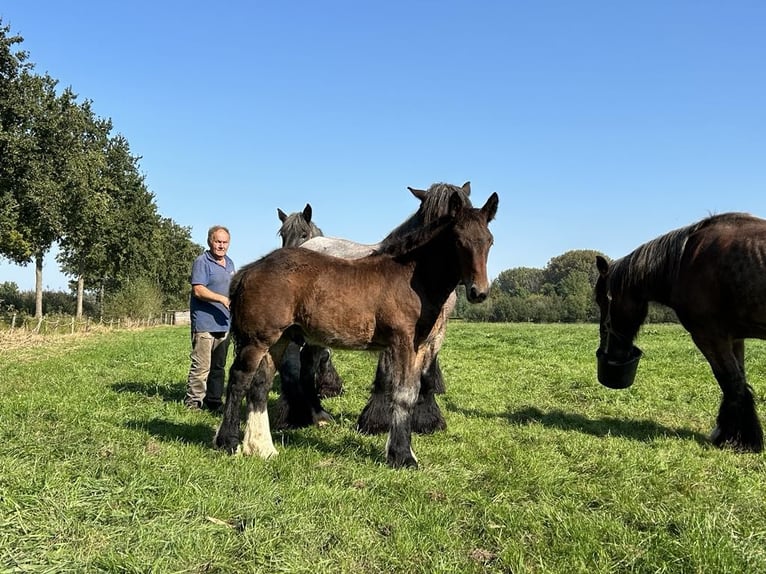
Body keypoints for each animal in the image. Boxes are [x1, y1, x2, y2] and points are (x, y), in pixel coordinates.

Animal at [596, 214, 766, 456]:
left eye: (601, 300)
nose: (609, 353)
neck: (685, 259)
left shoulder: (710, 337)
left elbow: (730, 381)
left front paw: (735, 439)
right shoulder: (734, 338)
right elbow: (739, 381)